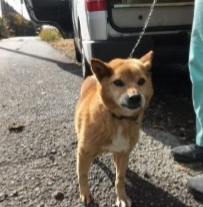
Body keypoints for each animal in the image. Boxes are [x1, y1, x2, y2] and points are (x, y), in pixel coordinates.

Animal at [75, 51, 154, 206]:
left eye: (141, 81)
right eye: (118, 82)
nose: (135, 97)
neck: (119, 119)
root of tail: (92, 76)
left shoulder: (124, 152)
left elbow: (120, 178)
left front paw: (121, 197)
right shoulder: (85, 152)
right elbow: (82, 175)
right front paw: (85, 193)